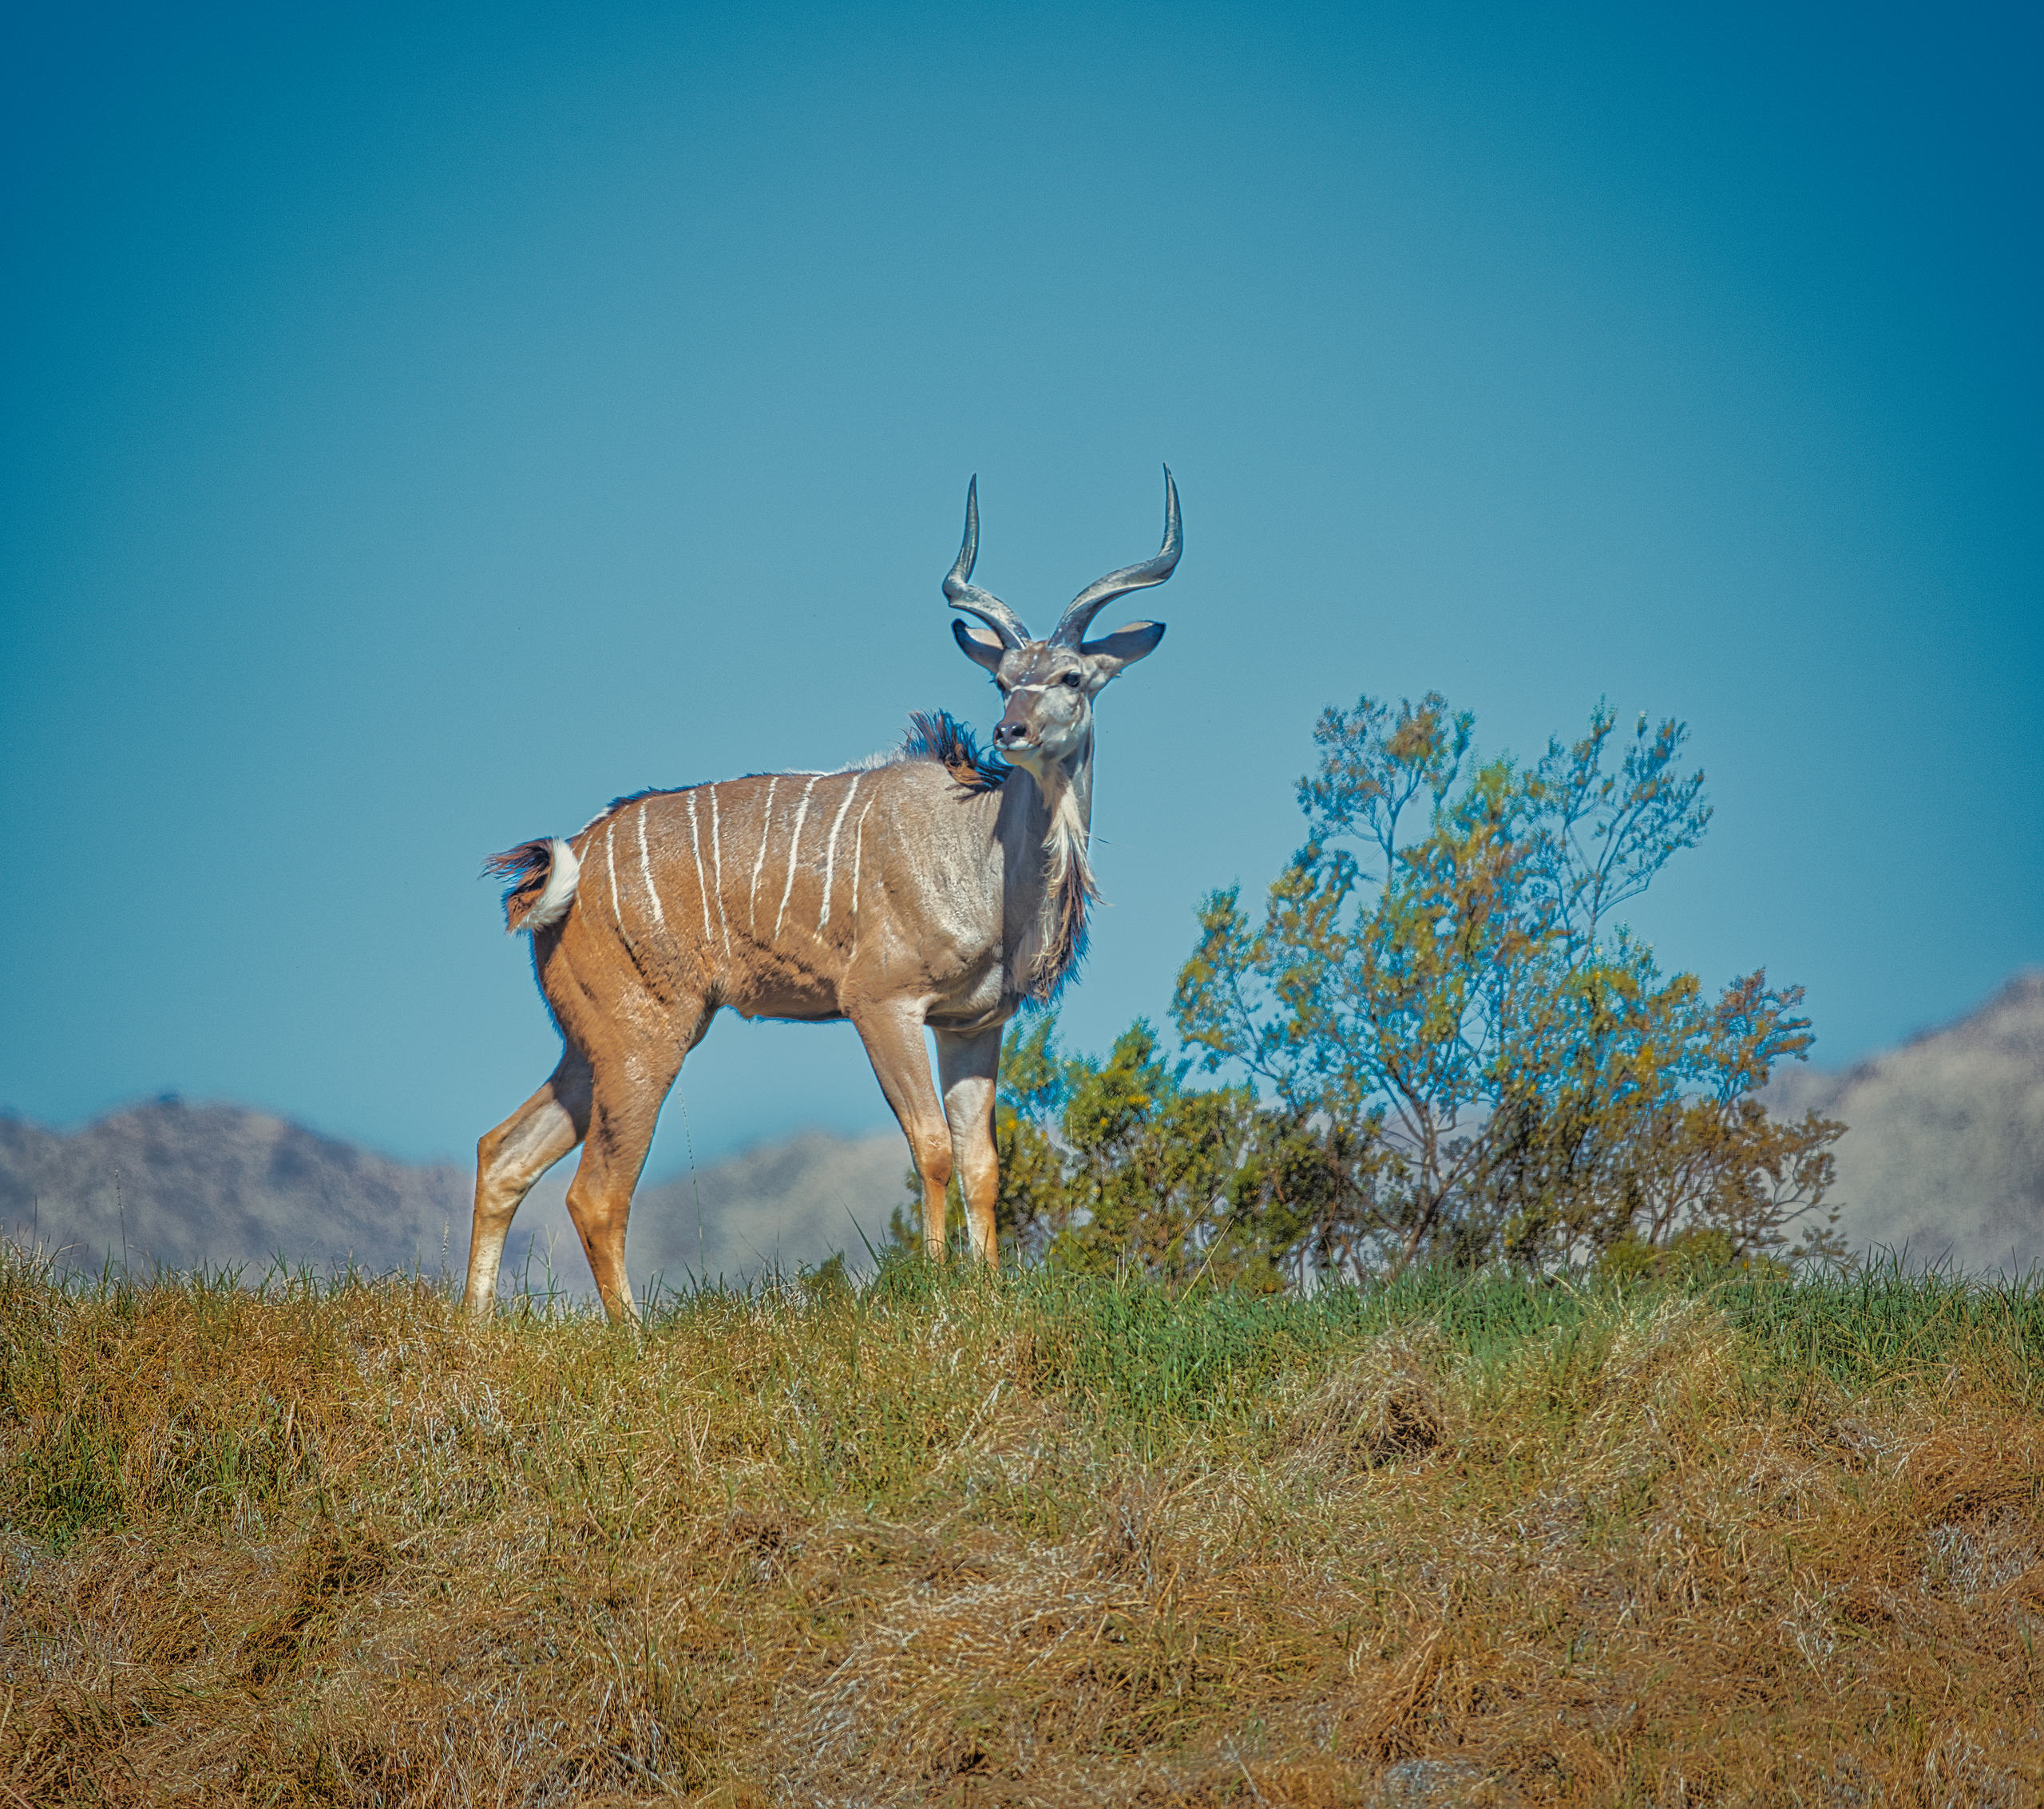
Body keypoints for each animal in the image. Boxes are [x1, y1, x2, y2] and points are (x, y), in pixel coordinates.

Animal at [463, 471, 1181, 1320]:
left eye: (1071, 677)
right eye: (1002, 681)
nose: (1012, 732)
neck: (977, 856)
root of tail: (561, 867)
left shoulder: (972, 1024)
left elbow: (982, 1163)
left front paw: (985, 1289)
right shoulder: (881, 1004)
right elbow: (931, 1148)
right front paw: (936, 1287)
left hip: (595, 1042)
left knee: (503, 1153)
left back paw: (476, 1326)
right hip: (646, 1039)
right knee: (596, 1194)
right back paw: (631, 1334)